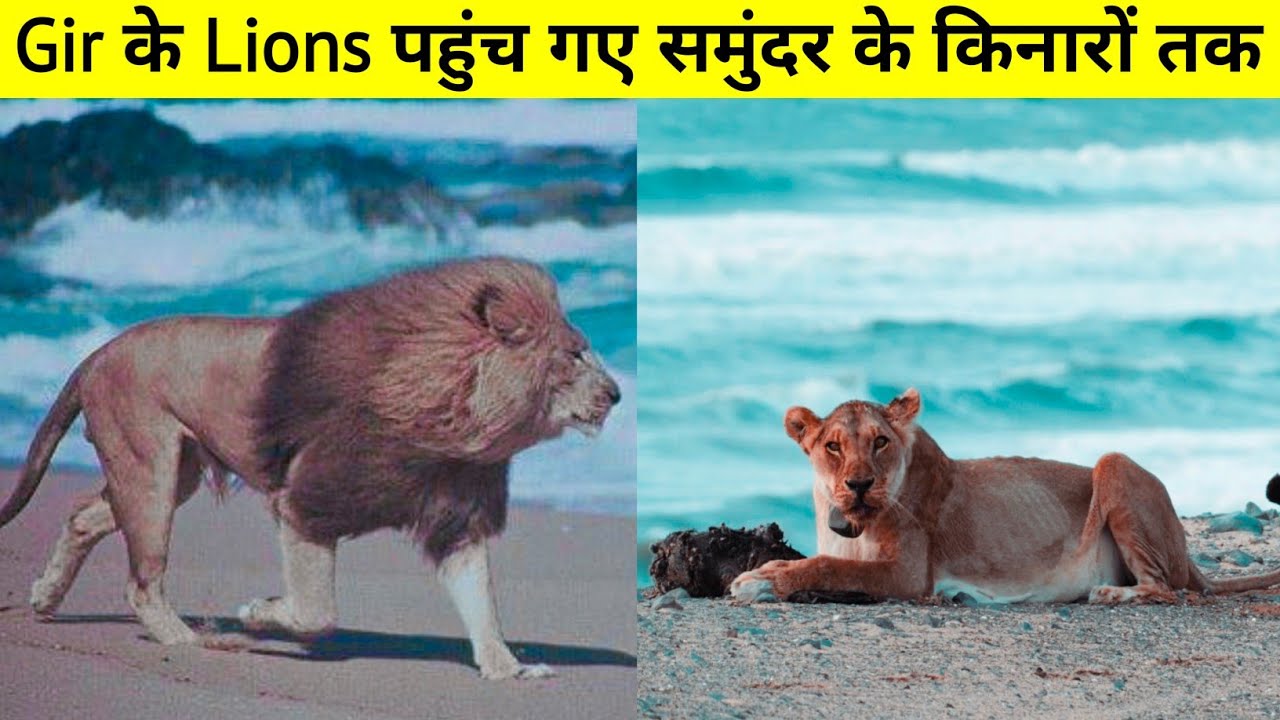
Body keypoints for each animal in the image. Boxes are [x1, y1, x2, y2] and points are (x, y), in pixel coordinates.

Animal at [0, 256, 621, 680]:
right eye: (575, 355)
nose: (617, 394)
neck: (456, 414)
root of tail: (97, 353)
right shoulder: (307, 499)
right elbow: (318, 611)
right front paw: (257, 614)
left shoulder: (458, 517)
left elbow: (482, 603)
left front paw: (507, 668)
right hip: (148, 469)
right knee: (141, 582)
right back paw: (193, 641)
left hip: (173, 476)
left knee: (82, 518)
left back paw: (45, 598)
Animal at [730, 388, 1280, 605]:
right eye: (832, 447)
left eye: (880, 442)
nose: (860, 484)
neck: (845, 520)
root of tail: (1189, 554)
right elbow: (818, 561)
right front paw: (767, 570)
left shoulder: (909, 575)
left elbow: (830, 567)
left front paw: (760, 582)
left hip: (1113, 461)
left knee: (1167, 588)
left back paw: (1109, 593)